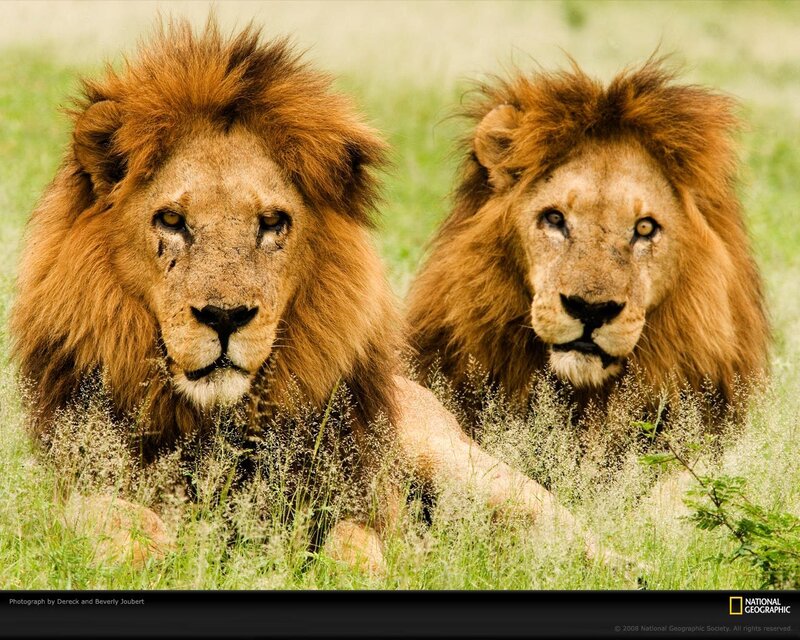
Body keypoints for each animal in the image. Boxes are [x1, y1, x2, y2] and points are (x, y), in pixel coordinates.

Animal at [10, 19, 608, 572]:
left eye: (272, 223)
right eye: (172, 220)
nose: (225, 317)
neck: (217, 426)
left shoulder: (350, 495)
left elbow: (356, 549)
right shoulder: (68, 487)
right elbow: (110, 521)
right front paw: (153, 549)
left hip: (471, 474)